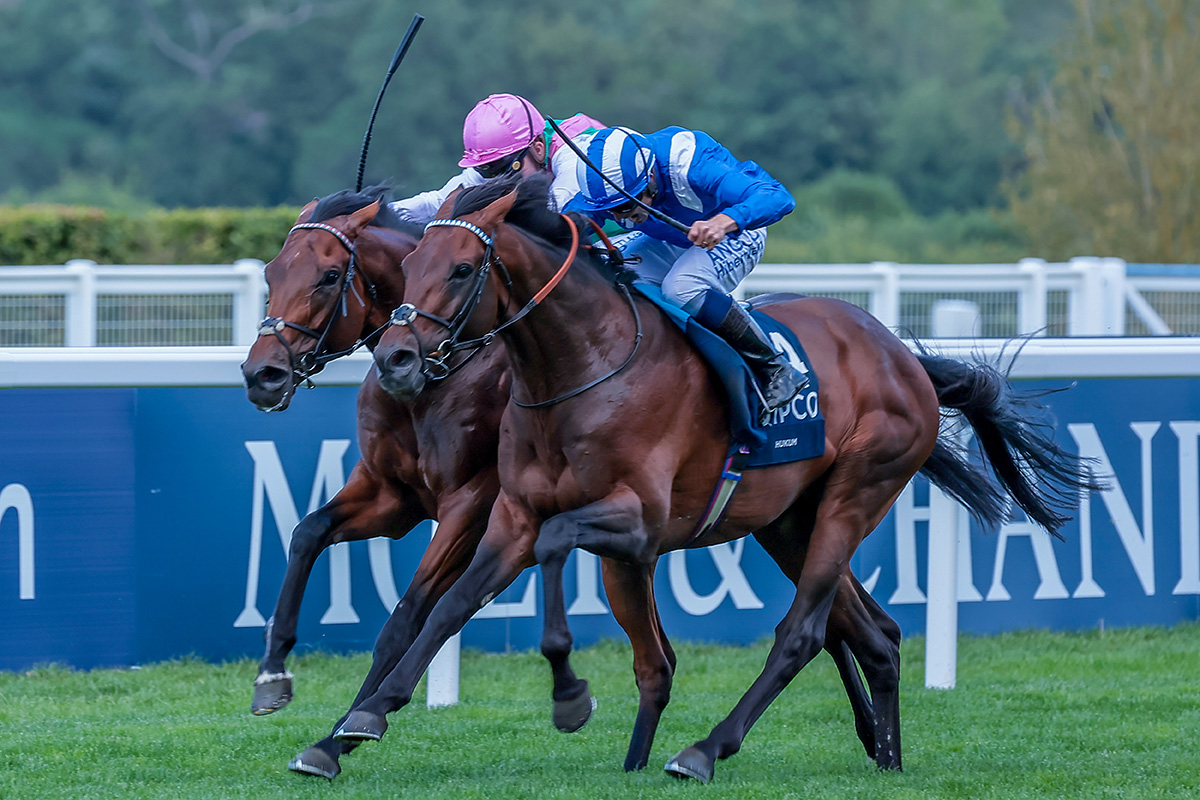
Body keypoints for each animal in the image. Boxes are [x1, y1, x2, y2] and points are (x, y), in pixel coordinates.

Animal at [328, 175, 1099, 782]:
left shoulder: (637, 520)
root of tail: (902, 352)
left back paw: (704, 750)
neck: (581, 368)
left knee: (804, 631)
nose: (396, 358)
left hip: (857, 493)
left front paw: (570, 696)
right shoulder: (513, 513)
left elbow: (553, 547)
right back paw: (886, 755)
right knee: (872, 635)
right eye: (412, 261)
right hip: (788, 520)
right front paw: (352, 726)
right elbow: (450, 607)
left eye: (462, 269)